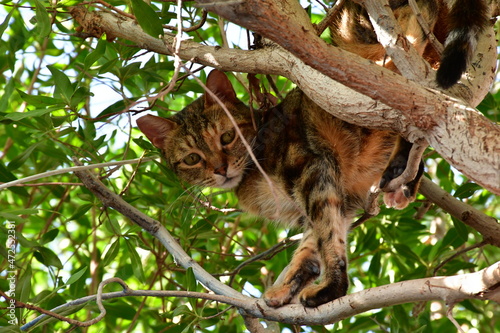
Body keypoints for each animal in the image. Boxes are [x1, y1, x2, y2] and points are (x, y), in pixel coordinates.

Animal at [136, 0, 488, 306]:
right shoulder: (340, 197)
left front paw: (332, 287)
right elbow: (312, 245)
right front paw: (287, 287)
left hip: (367, 41)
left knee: (408, 82)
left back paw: (401, 167)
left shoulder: (312, 171)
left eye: (226, 137)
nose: (220, 169)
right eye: (192, 159)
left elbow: (326, 236)